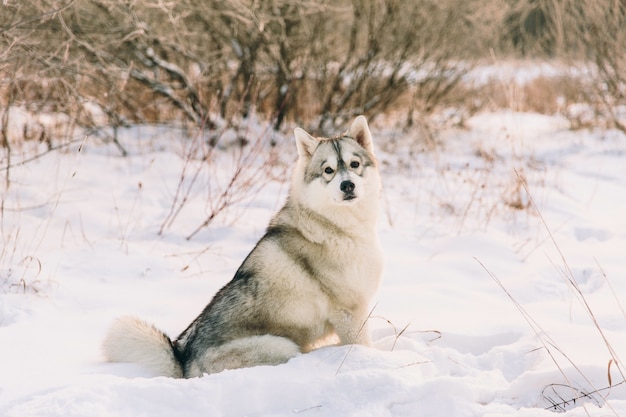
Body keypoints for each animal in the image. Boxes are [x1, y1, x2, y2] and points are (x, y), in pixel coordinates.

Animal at [102, 114, 380, 376]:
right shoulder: (348, 313)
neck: (337, 226)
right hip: (283, 346)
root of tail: (183, 359)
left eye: (354, 164)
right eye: (328, 170)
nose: (347, 185)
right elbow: (363, 347)